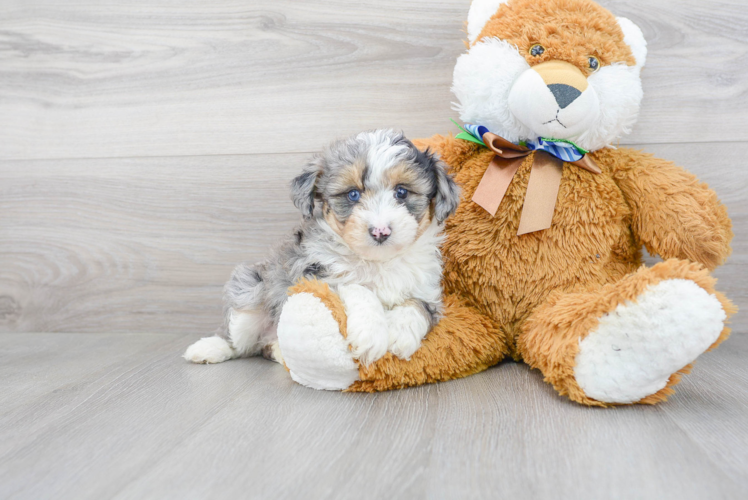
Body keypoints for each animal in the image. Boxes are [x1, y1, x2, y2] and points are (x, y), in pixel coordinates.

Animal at [184, 130, 458, 368]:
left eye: (402, 192)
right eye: (353, 195)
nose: (380, 231)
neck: (379, 262)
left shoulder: (428, 290)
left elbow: (416, 306)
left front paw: (399, 333)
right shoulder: (316, 276)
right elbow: (358, 287)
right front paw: (371, 335)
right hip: (250, 290)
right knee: (238, 340)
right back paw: (208, 348)